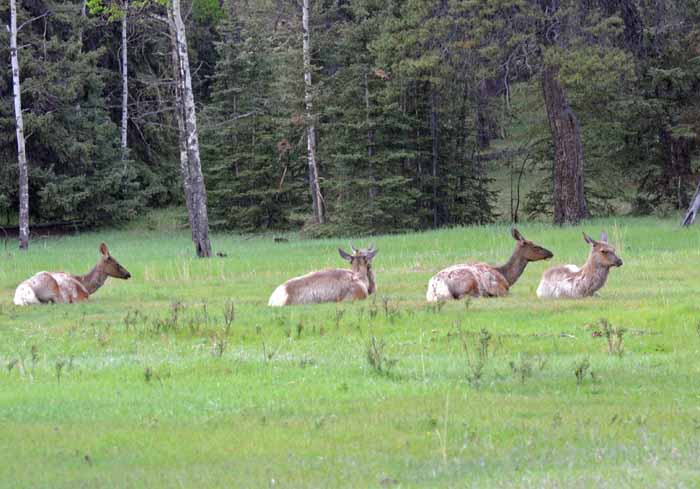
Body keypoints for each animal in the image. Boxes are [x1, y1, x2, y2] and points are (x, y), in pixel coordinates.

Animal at [424, 229, 556, 302]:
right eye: (535, 246)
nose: (551, 253)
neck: (506, 277)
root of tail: (435, 286)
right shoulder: (499, 288)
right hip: (467, 282)